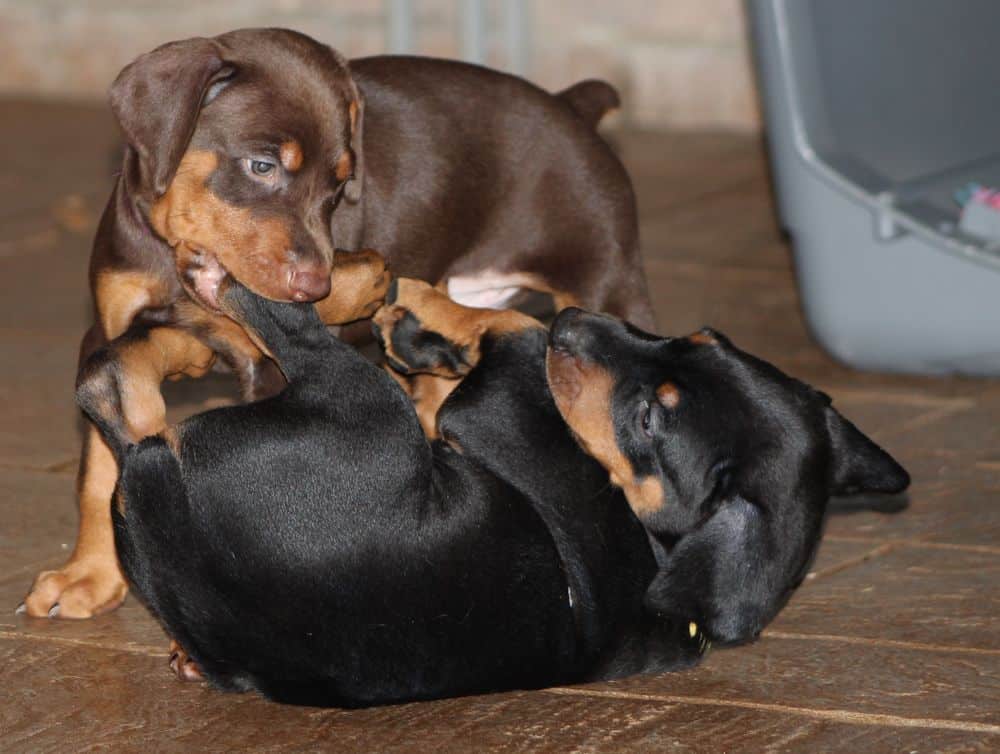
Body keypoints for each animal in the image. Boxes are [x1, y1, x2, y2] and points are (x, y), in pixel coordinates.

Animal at [21, 27, 656, 616]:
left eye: (340, 184)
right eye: (261, 166)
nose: (317, 286)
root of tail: (571, 107)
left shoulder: (271, 365)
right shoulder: (108, 331)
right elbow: (98, 468)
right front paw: (90, 576)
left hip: (606, 284)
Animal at [76, 272, 908, 704]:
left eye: (651, 417)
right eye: (691, 337)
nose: (575, 317)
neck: (657, 549)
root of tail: (157, 480)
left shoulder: (498, 408)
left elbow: (511, 332)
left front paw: (424, 309)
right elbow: (492, 345)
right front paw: (426, 336)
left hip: (357, 401)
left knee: (203, 354)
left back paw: (225, 292)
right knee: (115, 392)